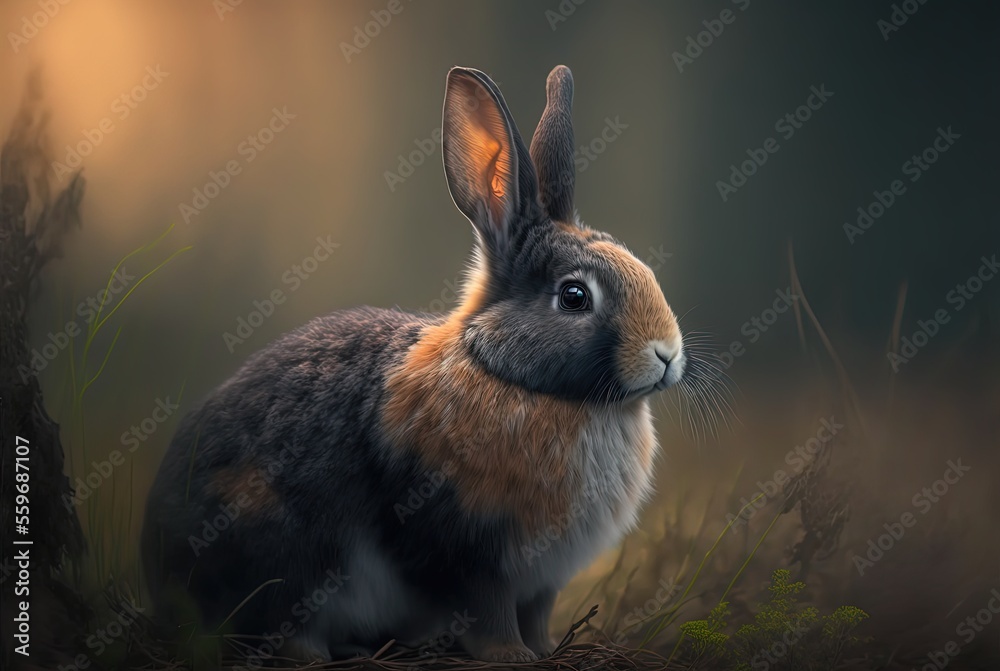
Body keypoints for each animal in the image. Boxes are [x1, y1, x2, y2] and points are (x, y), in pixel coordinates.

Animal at [142, 64, 687, 664]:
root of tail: (157, 574)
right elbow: (487, 607)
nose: (666, 353)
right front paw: (511, 656)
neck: (506, 374)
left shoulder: (544, 578)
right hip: (284, 552)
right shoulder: (470, 551)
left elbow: (537, 613)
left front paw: (544, 650)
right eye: (573, 297)